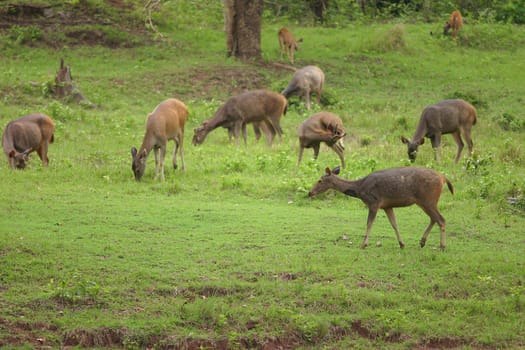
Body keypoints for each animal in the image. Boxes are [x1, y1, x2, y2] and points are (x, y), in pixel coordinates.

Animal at [310, 166, 452, 250]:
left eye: (320, 180)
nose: (310, 192)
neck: (359, 189)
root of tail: (443, 178)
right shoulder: (387, 206)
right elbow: (394, 224)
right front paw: (401, 243)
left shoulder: (374, 202)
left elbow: (369, 223)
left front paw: (364, 244)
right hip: (425, 201)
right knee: (434, 219)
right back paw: (422, 241)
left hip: (428, 199)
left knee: (441, 219)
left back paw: (442, 246)